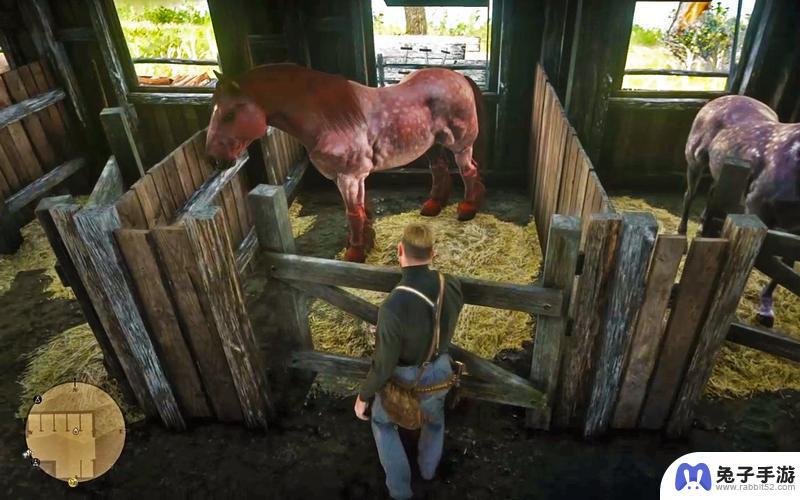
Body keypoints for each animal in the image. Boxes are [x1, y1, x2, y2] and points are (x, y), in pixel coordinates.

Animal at [203, 63, 484, 262]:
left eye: (229, 114)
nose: (213, 159)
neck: (326, 118)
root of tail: (460, 78)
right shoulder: (351, 178)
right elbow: (360, 210)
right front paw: (363, 243)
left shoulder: (349, 177)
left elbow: (353, 213)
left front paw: (355, 253)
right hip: (434, 146)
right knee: (439, 170)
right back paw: (434, 205)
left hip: (460, 145)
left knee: (469, 171)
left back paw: (468, 209)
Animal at [680, 94, 800, 328]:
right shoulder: (756, 206)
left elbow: (786, 264)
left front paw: (766, 308)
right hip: (695, 161)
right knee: (689, 195)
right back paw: (683, 236)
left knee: (713, 193)